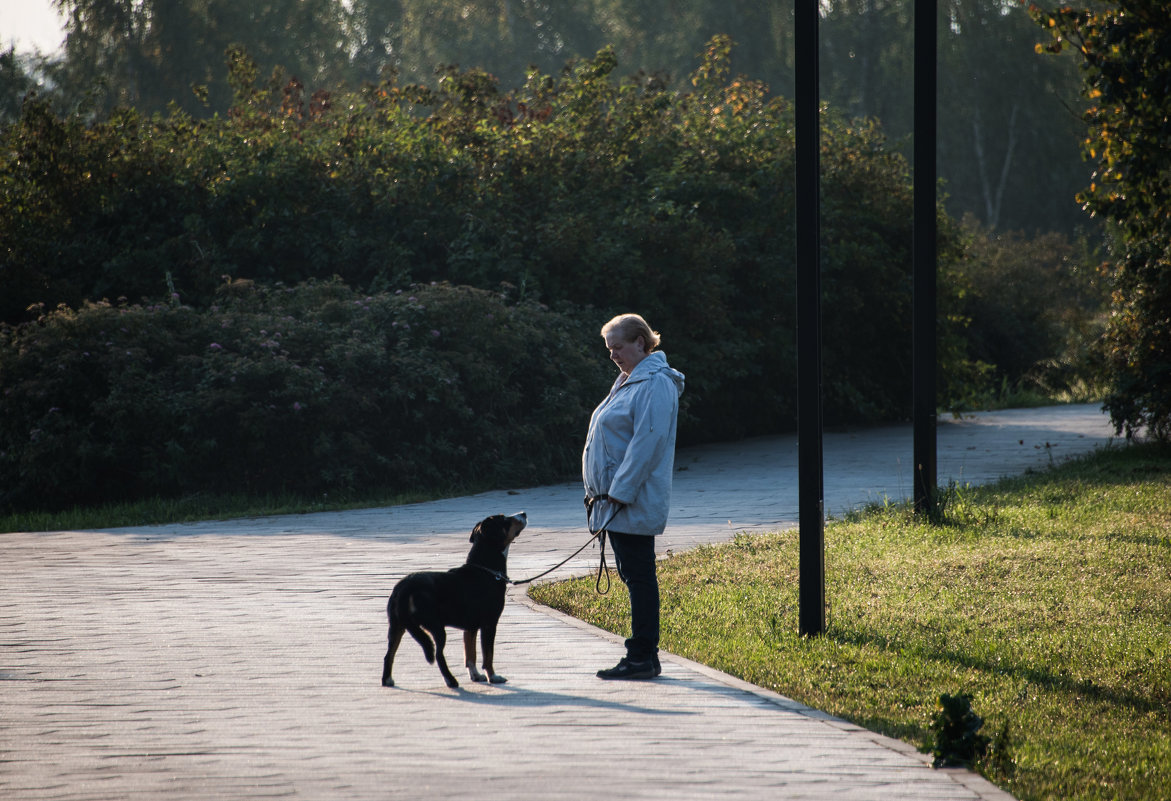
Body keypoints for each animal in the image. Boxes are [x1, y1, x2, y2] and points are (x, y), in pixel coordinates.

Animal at [379, 512, 526, 688]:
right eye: (504, 519)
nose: (523, 513)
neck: (486, 570)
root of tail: (405, 588)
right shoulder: (489, 623)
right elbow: (488, 654)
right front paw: (493, 676)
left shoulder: (471, 627)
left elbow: (470, 654)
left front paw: (476, 675)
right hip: (435, 626)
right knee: (438, 654)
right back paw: (451, 680)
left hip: (397, 626)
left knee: (389, 654)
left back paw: (387, 679)